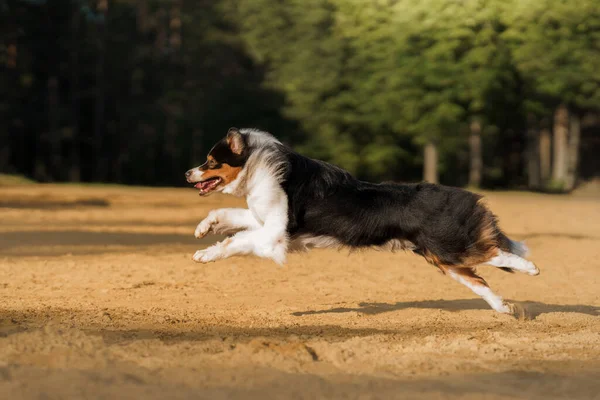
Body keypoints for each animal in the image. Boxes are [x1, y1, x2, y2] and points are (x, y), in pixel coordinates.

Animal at [184, 128, 540, 316]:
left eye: (211, 161)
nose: (187, 173)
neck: (258, 168)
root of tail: (464, 196)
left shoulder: (273, 236)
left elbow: (234, 241)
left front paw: (204, 254)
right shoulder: (267, 223)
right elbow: (227, 216)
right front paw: (203, 228)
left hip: (449, 247)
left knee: (499, 254)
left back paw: (531, 269)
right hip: (444, 260)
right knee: (481, 281)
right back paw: (505, 309)